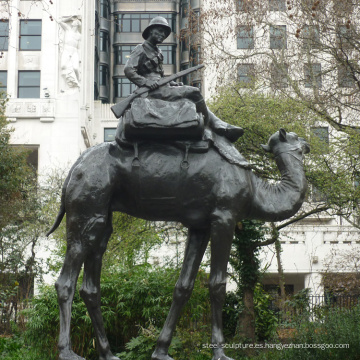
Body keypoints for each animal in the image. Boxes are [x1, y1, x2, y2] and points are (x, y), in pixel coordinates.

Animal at [47, 129, 310, 360]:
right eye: (295, 137)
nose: (308, 144)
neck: (256, 189)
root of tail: (74, 169)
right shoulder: (224, 216)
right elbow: (217, 284)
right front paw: (220, 353)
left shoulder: (200, 226)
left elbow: (183, 287)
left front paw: (161, 351)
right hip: (86, 209)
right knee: (65, 280)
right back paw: (67, 352)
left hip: (102, 216)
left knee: (91, 283)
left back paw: (108, 353)